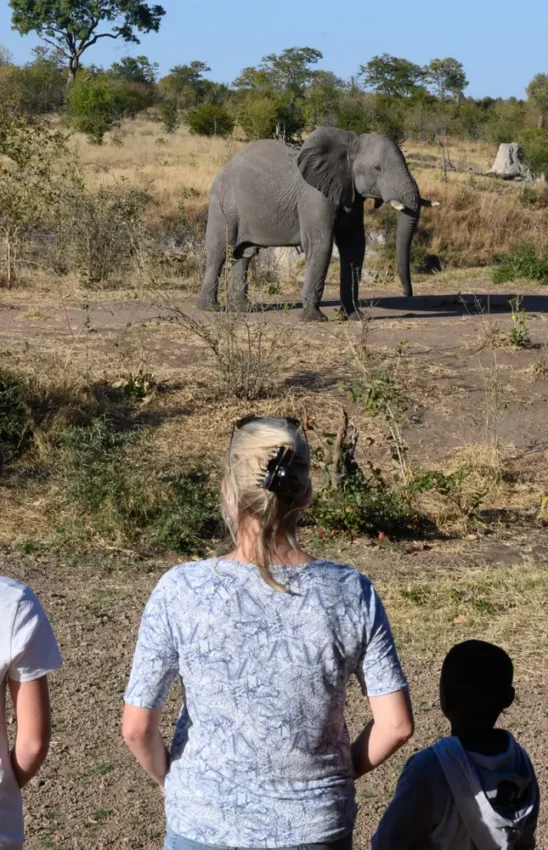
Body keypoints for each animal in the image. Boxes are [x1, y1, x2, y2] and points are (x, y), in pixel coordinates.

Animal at [198, 126, 439, 321]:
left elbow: (355, 247)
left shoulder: (350, 193)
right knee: (220, 252)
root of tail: (222, 170)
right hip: (223, 204)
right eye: (377, 169)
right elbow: (321, 244)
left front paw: (355, 317)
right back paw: (210, 308)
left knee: (245, 255)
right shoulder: (314, 196)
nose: (408, 294)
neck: (349, 145)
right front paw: (314, 319)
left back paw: (243, 309)